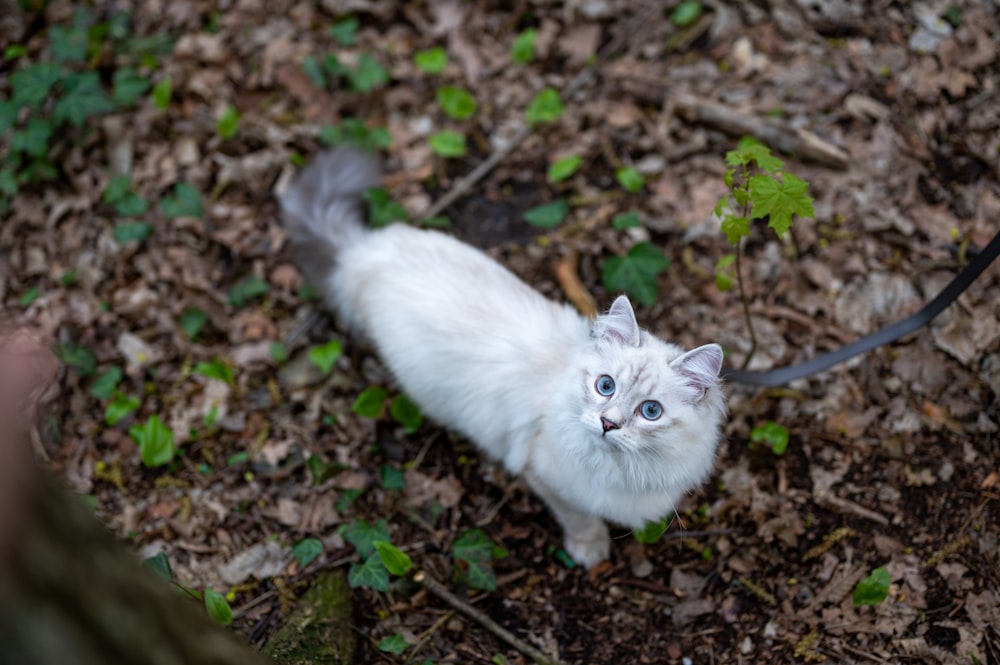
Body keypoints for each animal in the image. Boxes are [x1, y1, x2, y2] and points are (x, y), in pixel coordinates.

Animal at [282, 149, 728, 564]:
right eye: (605, 386)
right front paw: (591, 549)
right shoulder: (546, 478)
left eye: (650, 411)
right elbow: (580, 518)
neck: (622, 471)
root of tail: (367, 250)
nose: (607, 424)